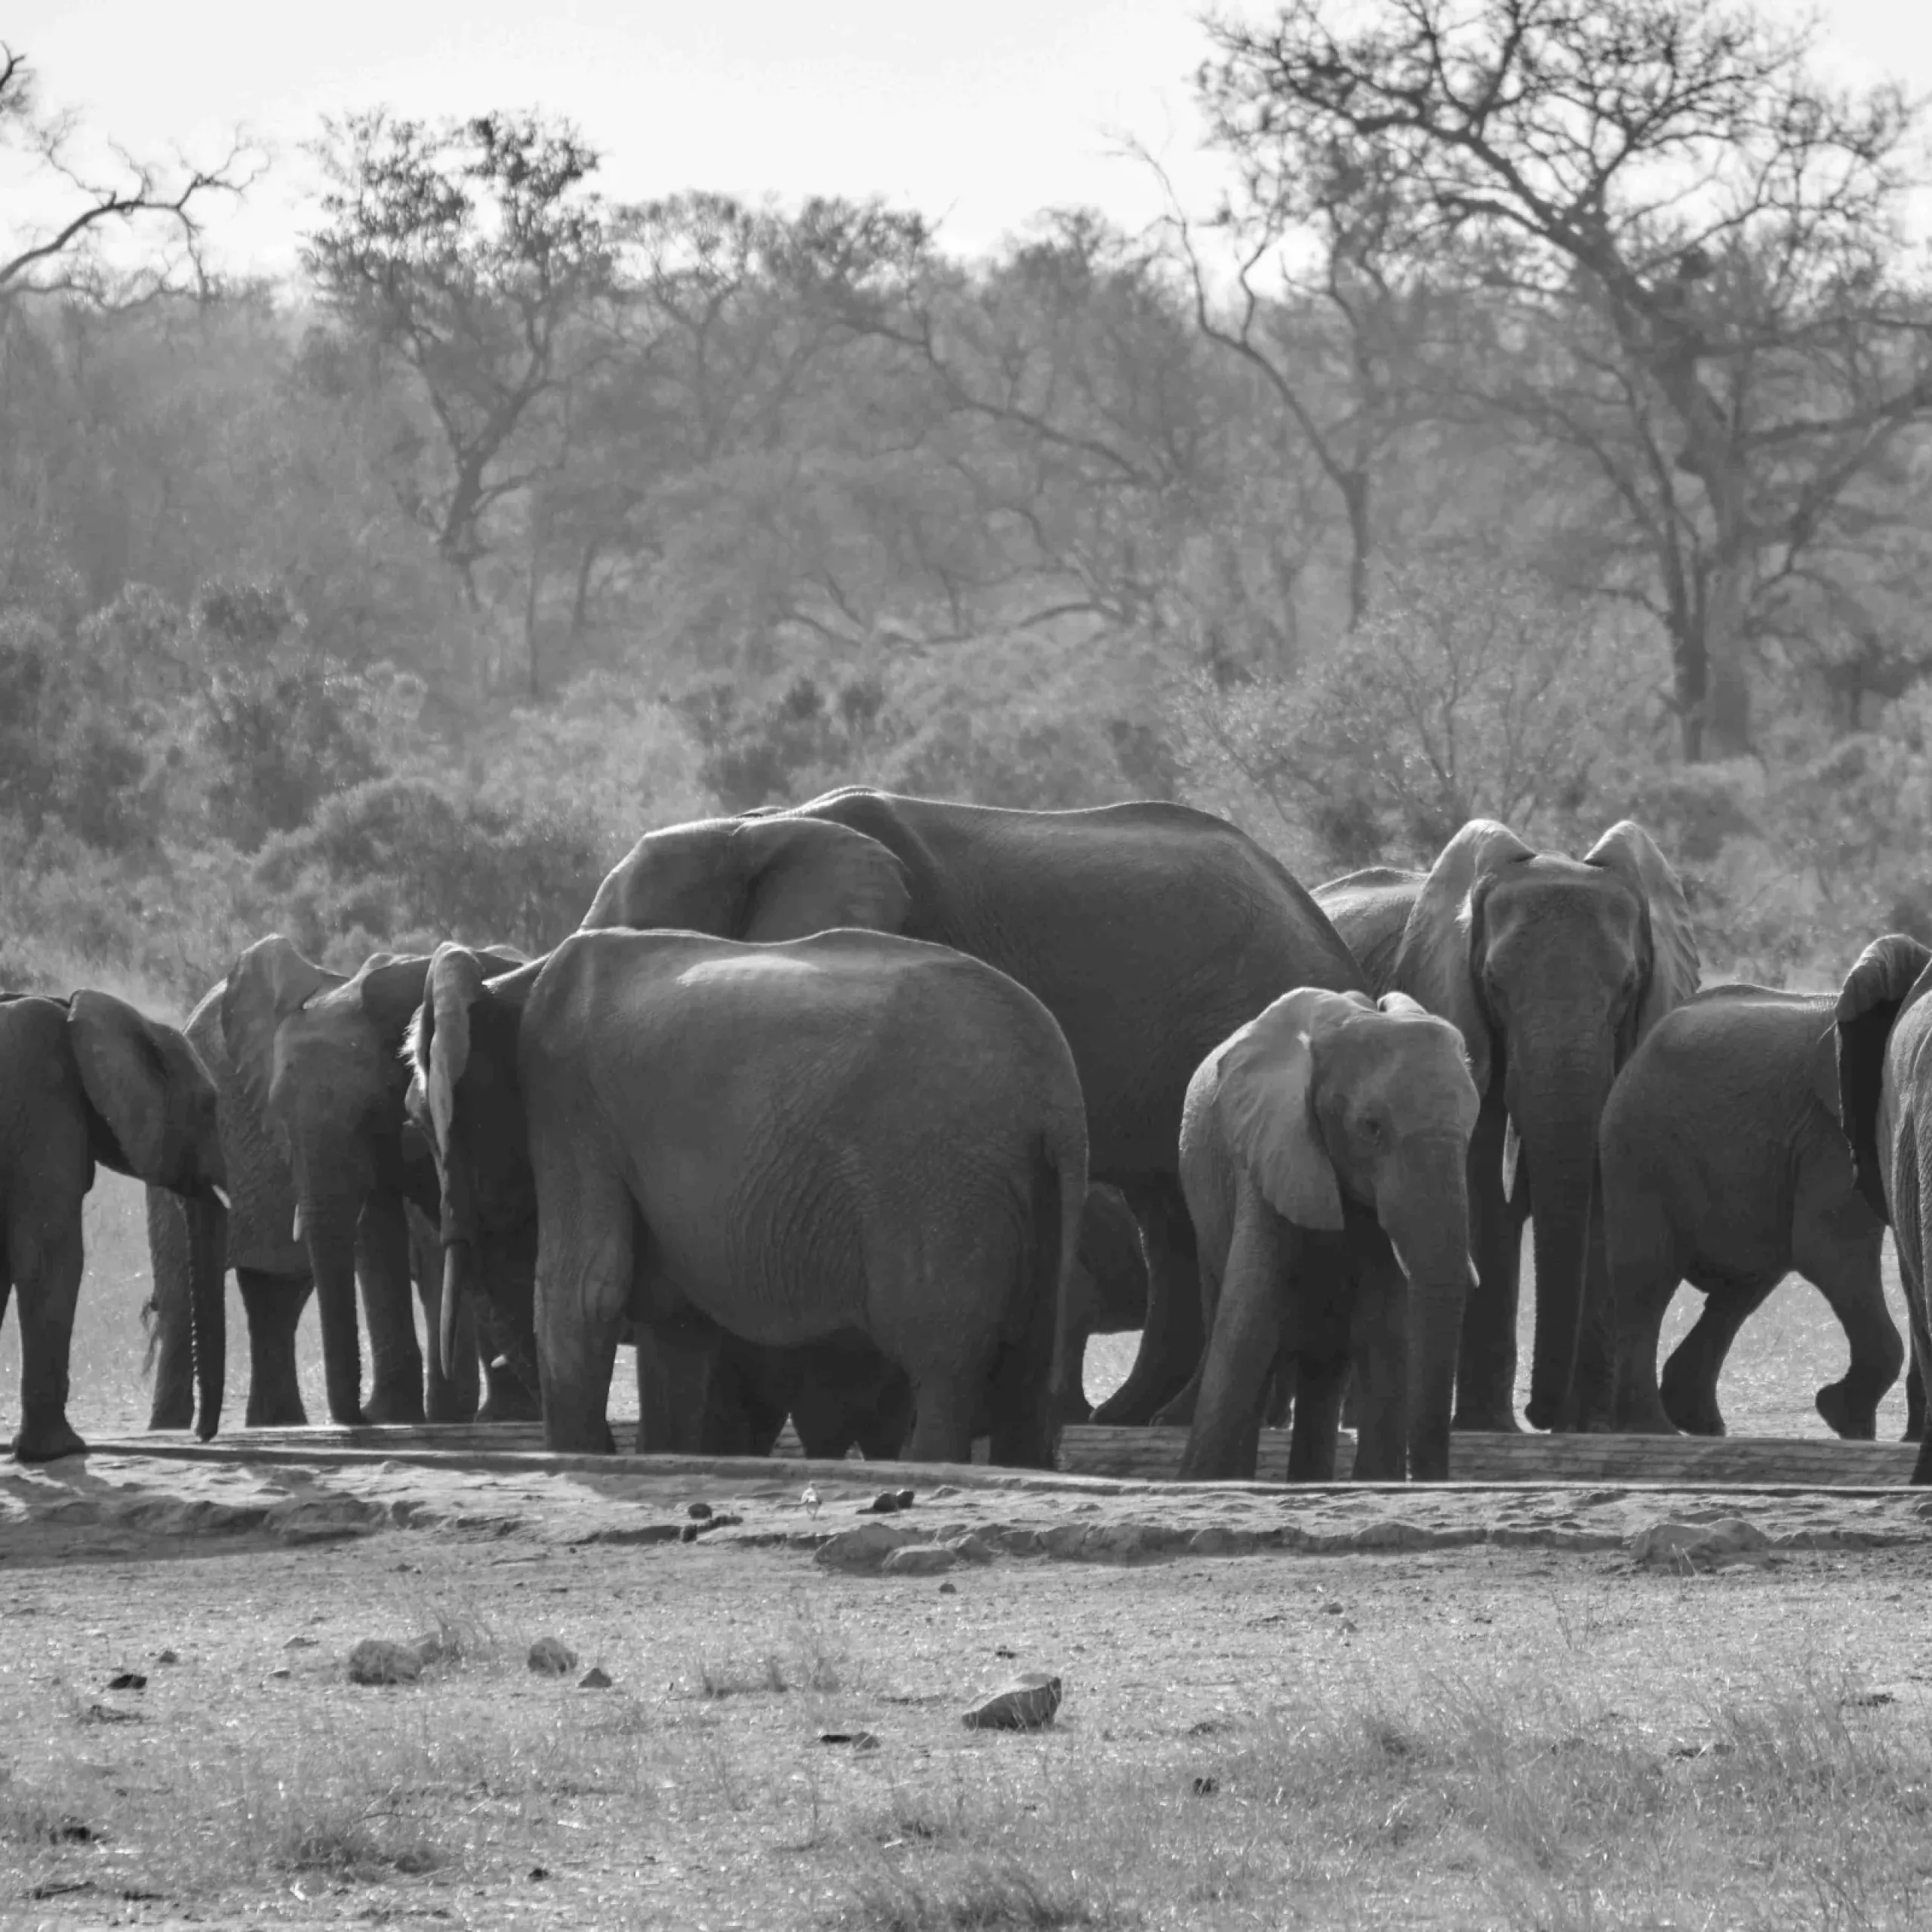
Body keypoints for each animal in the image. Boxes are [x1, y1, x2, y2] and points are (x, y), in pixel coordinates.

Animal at [145, 935, 533, 1430]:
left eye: (371, 1109)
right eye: (278, 1115)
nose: (358, 1419)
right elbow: (383, 1236)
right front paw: (400, 1414)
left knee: (274, 1297)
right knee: (182, 1297)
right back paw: (175, 1426)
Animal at [413, 928, 1089, 1463]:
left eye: (417, 1124)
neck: (507, 982)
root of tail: (1056, 1094)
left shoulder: (569, 1106)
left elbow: (584, 1292)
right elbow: (676, 1325)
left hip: (939, 1184)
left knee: (943, 1369)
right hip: (1034, 1188)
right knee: (1027, 1385)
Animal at [1173, 989, 1480, 1483]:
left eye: (1472, 1127)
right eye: (1371, 1127)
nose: (1426, 1478)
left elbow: (1382, 1336)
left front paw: (1378, 1484)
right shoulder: (1268, 1151)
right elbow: (1248, 1323)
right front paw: (1200, 1480)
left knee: (1326, 1369)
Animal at [1315, 820, 1699, 1435]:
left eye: (1628, 986)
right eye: (1493, 984)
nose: (1542, 1413)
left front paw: (1590, 1428)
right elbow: (1484, 1196)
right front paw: (1488, 1427)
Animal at [1602, 984, 1905, 1439]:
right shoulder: (1832, 1136)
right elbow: (1829, 1251)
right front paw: (1846, 1419)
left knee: (1743, 1286)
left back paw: (1699, 1422)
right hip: (1640, 1148)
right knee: (1647, 1279)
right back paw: (1654, 1429)